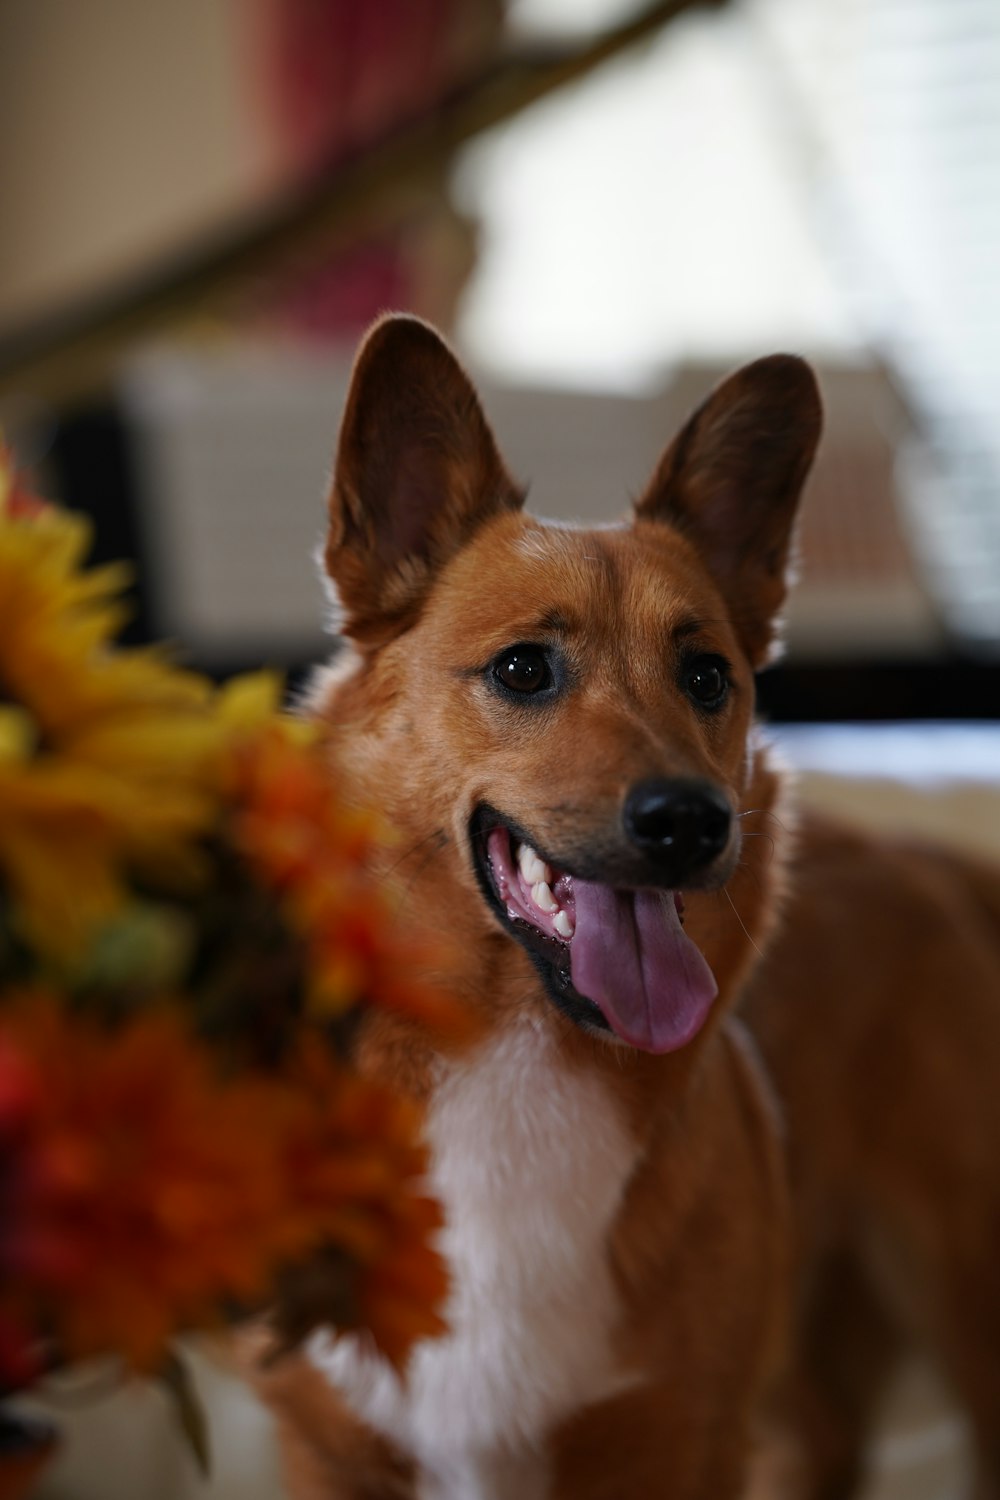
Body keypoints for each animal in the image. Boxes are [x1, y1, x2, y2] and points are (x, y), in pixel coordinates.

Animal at [256, 316, 1000, 1500]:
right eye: (523, 669)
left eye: (707, 678)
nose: (693, 823)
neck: (512, 1057)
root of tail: (911, 847)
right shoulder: (327, 1449)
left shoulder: (682, 1437)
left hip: (954, 1285)